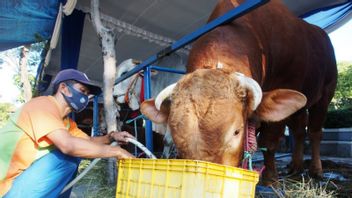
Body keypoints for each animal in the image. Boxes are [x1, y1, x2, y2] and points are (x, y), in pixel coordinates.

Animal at [139, 0, 336, 185]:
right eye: (175, 135)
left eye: (236, 132)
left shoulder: (286, 83)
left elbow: (269, 142)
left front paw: (270, 179)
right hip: (301, 105)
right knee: (299, 131)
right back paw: (295, 166)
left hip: (326, 92)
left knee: (315, 131)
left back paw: (316, 170)